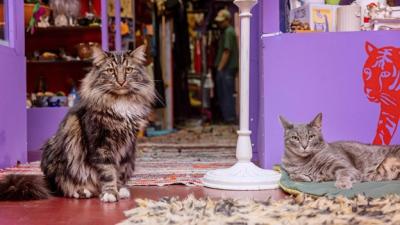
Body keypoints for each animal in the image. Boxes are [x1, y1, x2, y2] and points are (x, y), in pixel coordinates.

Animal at [0, 44, 155, 201]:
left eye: (128, 70)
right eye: (110, 71)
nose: (121, 81)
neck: (120, 102)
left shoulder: (127, 147)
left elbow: (120, 171)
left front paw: (120, 189)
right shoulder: (100, 143)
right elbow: (108, 172)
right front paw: (110, 193)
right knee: (63, 186)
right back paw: (82, 191)